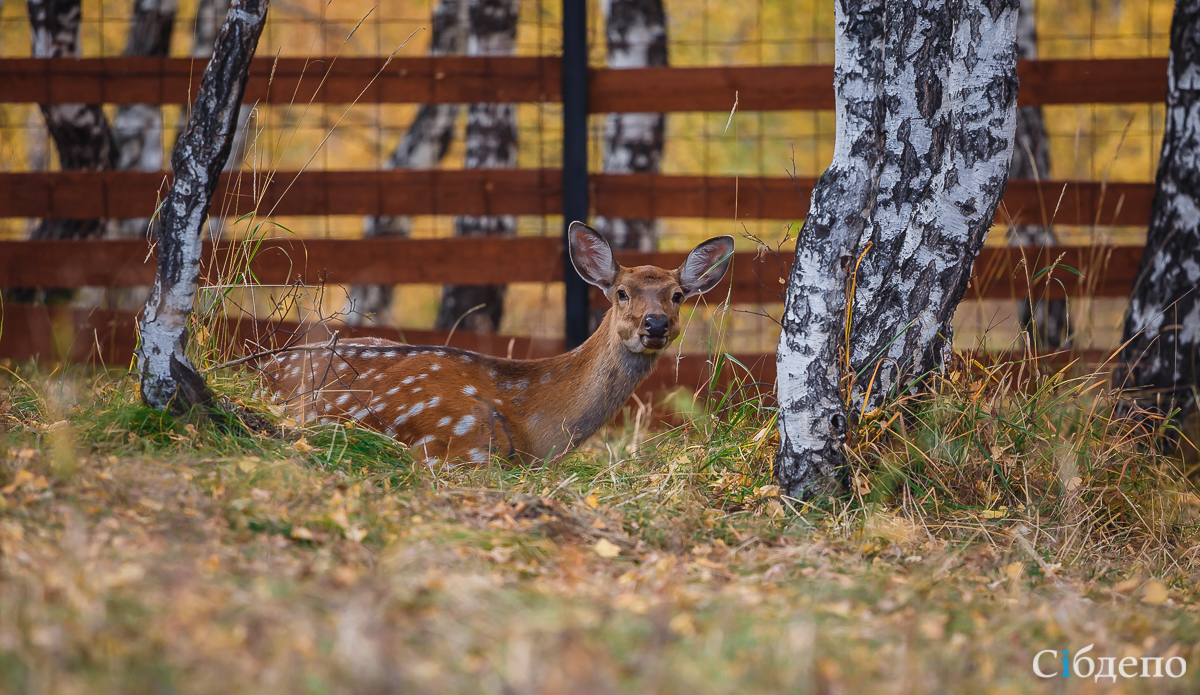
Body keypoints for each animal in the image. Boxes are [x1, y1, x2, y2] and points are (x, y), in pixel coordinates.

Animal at [259, 223, 734, 468]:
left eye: (678, 295)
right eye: (621, 292)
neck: (535, 432)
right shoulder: (454, 450)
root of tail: (264, 367)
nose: (655, 324)